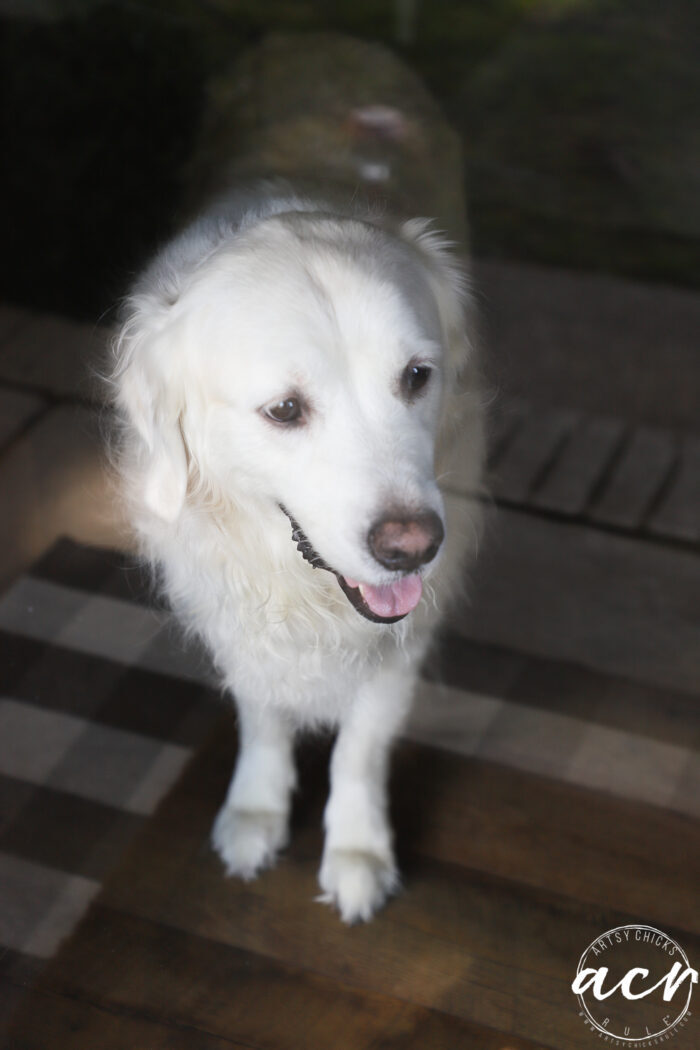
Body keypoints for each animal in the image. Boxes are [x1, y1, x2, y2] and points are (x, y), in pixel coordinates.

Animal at [112, 43, 484, 919]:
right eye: (284, 410)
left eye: (417, 376)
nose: (412, 546)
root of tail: (325, 39)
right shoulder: (234, 613)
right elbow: (263, 716)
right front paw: (256, 810)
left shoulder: (405, 636)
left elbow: (362, 747)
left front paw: (357, 849)